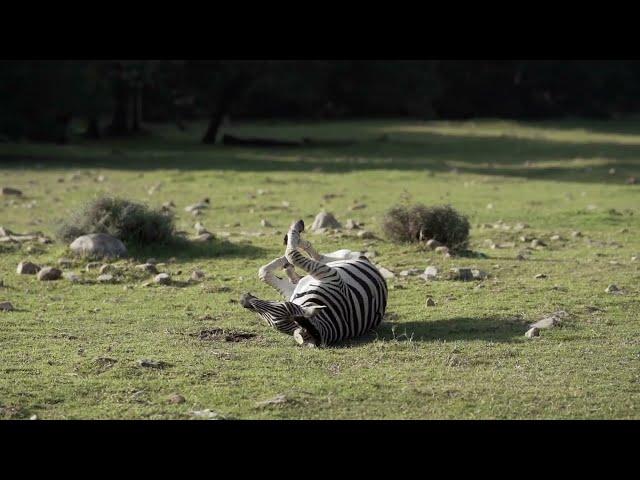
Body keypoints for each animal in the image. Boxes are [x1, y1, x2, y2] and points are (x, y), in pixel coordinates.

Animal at [240, 219, 388, 346]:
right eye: (265, 319)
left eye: (283, 306)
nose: (243, 300)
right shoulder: (299, 288)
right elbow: (265, 272)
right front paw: (285, 261)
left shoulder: (329, 275)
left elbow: (291, 256)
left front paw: (287, 252)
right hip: (334, 262)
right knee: (314, 258)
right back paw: (290, 261)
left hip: (338, 260)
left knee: (315, 256)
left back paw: (294, 237)